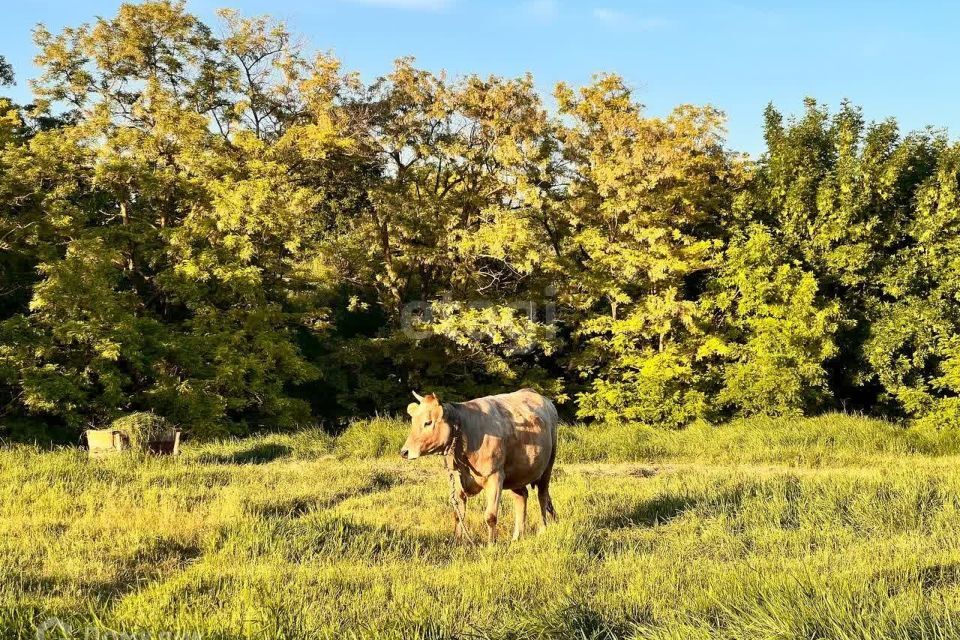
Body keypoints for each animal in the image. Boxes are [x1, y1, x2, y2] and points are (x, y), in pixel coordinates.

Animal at [400, 384, 564, 544]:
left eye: (428, 422)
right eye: (413, 421)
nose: (404, 452)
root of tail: (543, 399)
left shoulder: (495, 476)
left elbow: (490, 516)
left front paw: (491, 545)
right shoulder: (458, 478)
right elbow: (458, 514)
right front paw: (458, 542)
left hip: (548, 465)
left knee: (542, 496)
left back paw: (543, 529)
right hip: (517, 472)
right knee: (521, 496)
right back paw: (517, 536)